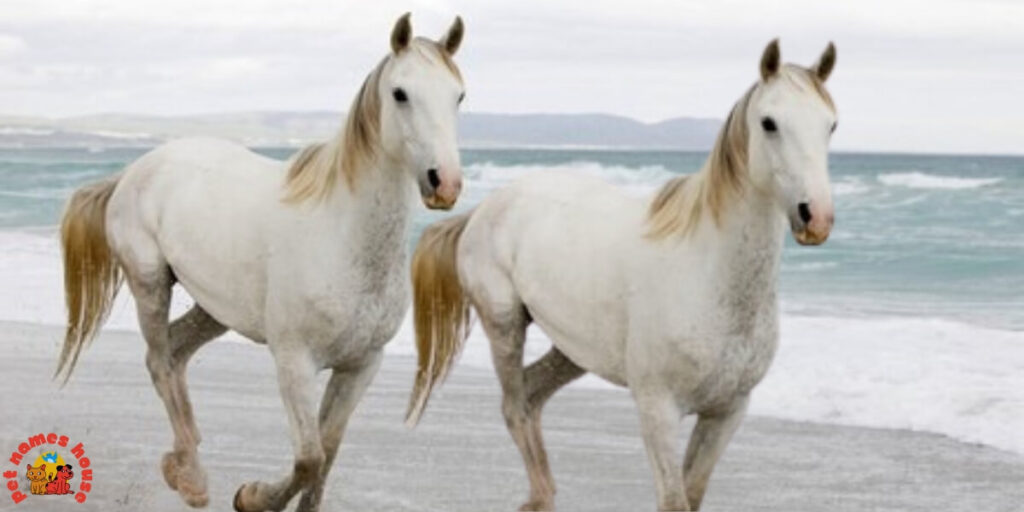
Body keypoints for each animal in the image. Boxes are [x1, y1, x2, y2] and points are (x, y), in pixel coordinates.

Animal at [56, 13, 466, 512]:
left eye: (458, 96)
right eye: (400, 93)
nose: (444, 183)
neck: (342, 237)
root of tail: (133, 171)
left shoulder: (360, 366)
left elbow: (327, 456)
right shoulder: (294, 363)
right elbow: (309, 458)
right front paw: (251, 497)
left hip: (215, 309)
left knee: (175, 352)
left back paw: (182, 463)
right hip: (149, 283)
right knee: (159, 360)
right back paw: (193, 479)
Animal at [405, 40, 838, 511]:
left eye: (831, 125)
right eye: (769, 123)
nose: (815, 217)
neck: (708, 275)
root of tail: (484, 209)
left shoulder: (726, 412)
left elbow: (692, 494)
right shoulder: (658, 410)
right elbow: (674, 500)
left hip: (574, 349)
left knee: (532, 394)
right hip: (505, 325)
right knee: (515, 405)